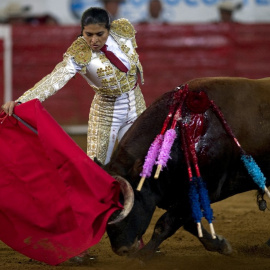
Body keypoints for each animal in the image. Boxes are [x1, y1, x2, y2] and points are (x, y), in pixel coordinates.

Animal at [103, 77, 270, 258]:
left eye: (123, 208)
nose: (122, 249)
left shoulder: (202, 190)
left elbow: (165, 224)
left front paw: (142, 256)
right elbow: (190, 224)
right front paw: (220, 245)